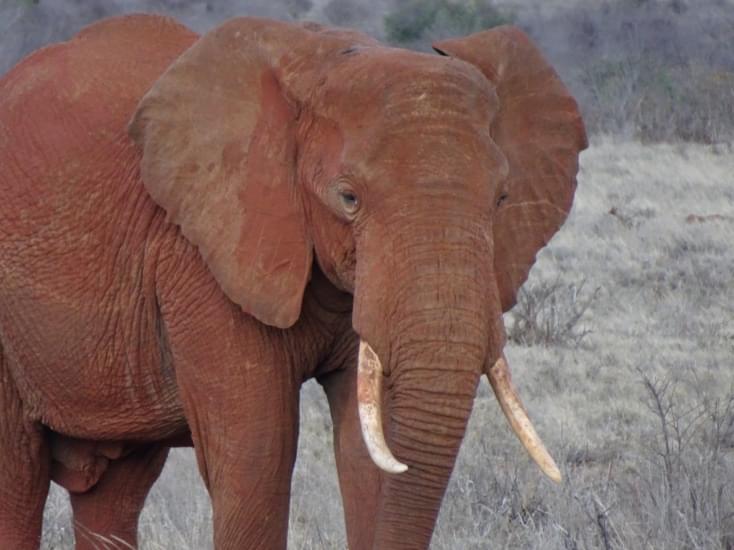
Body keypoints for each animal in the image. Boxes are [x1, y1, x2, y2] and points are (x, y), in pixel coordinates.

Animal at [0, 11, 588, 550]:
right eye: (348, 198)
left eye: (502, 199)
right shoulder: (201, 253)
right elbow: (257, 454)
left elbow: (369, 452)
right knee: (19, 485)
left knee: (116, 494)